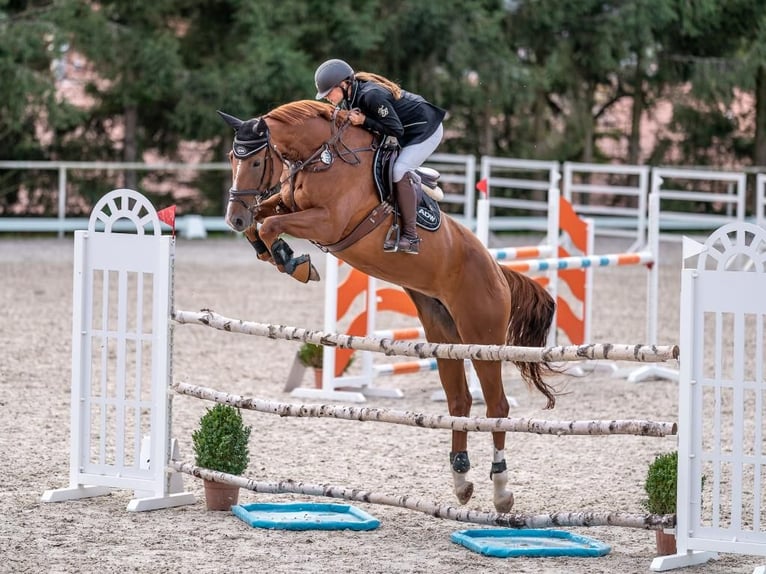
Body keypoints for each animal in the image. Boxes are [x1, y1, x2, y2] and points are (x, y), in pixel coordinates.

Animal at [218, 100, 557, 513]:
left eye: (254, 161)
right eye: (231, 158)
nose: (233, 218)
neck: (323, 157)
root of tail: (496, 269)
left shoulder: (328, 222)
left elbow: (270, 225)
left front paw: (292, 261)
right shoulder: (288, 204)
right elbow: (264, 221)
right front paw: (279, 255)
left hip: (483, 338)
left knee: (497, 408)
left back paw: (501, 490)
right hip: (443, 333)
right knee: (459, 400)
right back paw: (461, 480)